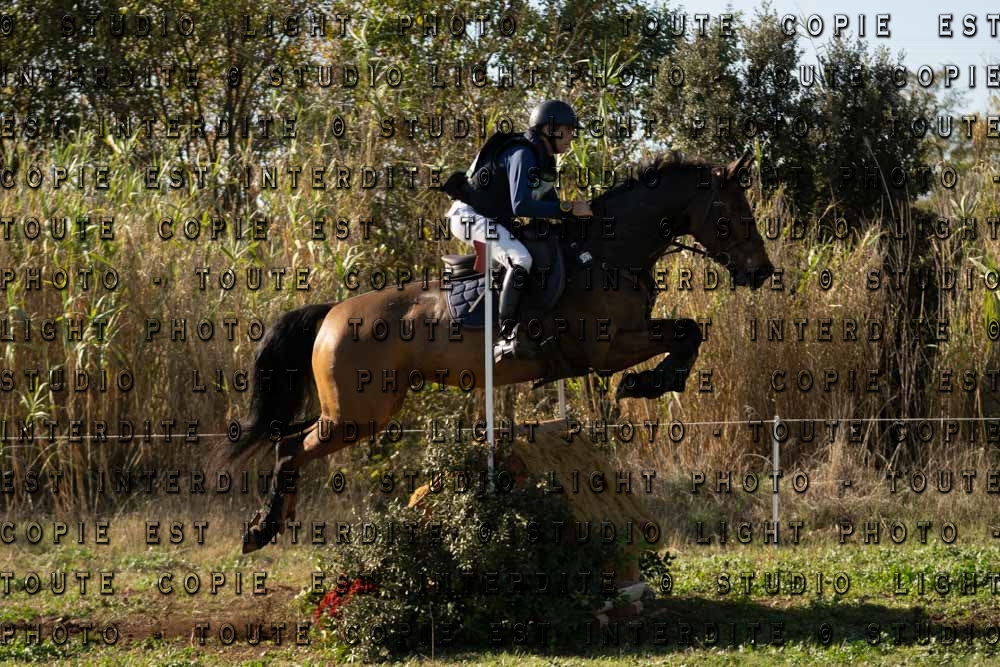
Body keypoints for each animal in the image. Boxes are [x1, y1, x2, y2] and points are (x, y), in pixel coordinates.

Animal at [222, 151, 775, 553]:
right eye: (733, 215)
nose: (762, 273)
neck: (606, 254)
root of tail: (334, 311)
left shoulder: (628, 336)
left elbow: (689, 331)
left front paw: (659, 381)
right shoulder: (607, 349)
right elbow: (684, 335)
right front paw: (649, 383)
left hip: (361, 410)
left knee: (286, 439)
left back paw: (271, 522)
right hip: (358, 414)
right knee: (290, 446)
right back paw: (261, 531)